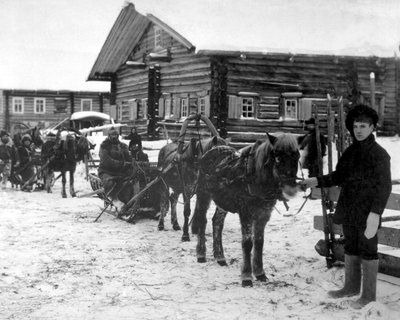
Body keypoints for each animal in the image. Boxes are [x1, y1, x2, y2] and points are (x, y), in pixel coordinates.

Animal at [191, 133, 300, 288]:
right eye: (278, 157)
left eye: (297, 157)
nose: (291, 188)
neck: (256, 179)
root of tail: (213, 149)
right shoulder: (246, 213)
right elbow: (248, 243)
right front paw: (247, 277)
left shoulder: (263, 215)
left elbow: (259, 243)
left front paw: (260, 273)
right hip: (203, 195)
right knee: (202, 220)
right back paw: (201, 254)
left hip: (223, 201)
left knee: (217, 222)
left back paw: (220, 257)